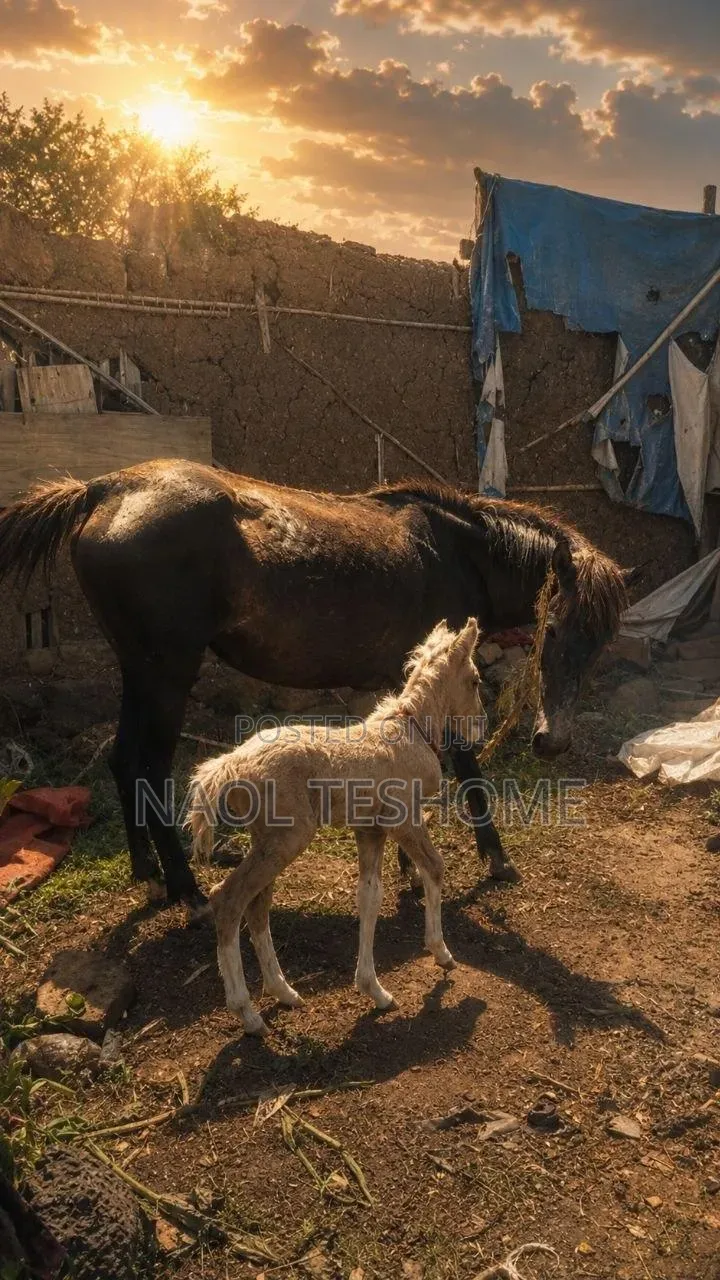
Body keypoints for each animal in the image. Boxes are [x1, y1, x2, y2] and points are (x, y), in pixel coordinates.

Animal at [0, 458, 632, 918]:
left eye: (602, 641)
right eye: (554, 627)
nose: (552, 741)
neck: (457, 555)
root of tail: (106, 488)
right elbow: (467, 766)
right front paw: (493, 860)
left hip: (140, 673)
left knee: (123, 761)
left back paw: (150, 877)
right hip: (166, 674)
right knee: (150, 769)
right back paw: (189, 891)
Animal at [188, 618, 484, 1034]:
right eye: (474, 680)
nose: (480, 731)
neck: (412, 732)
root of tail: (229, 764)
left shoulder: (370, 829)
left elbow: (369, 896)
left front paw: (375, 990)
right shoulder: (404, 820)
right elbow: (435, 868)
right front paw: (441, 952)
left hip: (268, 840)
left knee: (257, 905)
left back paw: (284, 992)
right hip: (287, 839)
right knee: (228, 899)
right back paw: (248, 1013)